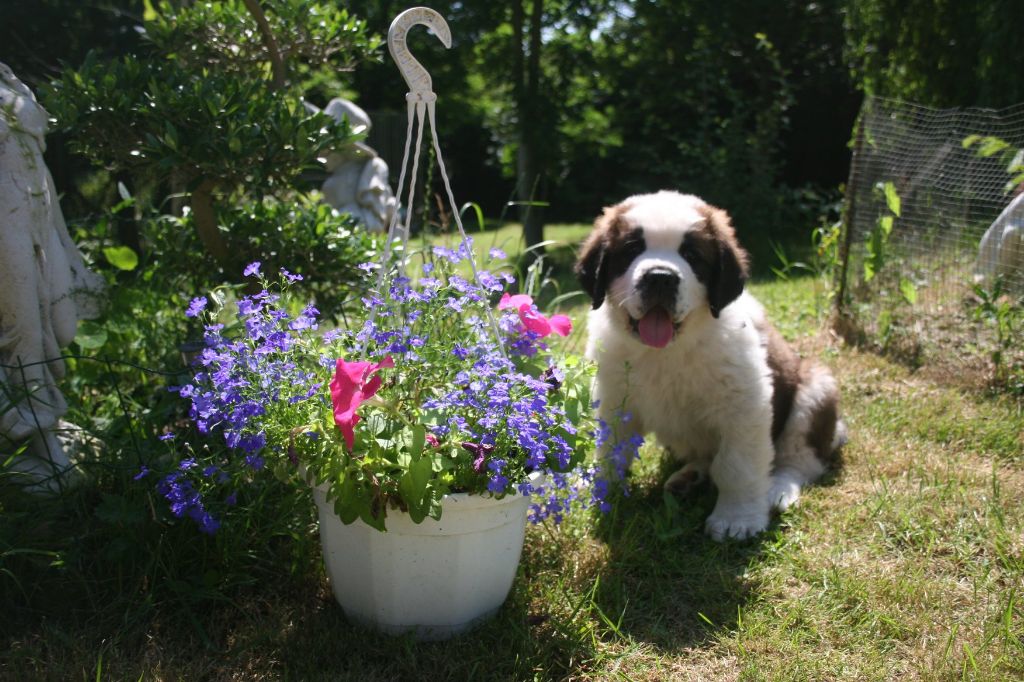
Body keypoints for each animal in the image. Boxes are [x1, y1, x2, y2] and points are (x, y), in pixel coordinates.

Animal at [577, 189, 847, 536]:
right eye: (632, 249)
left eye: (692, 255)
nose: (660, 278)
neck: (667, 352)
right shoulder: (614, 400)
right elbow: (610, 450)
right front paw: (600, 490)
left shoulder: (745, 405)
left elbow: (737, 466)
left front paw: (737, 519)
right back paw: (689, 477)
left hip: (815, 390)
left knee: (800, 461)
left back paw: (777, 489)